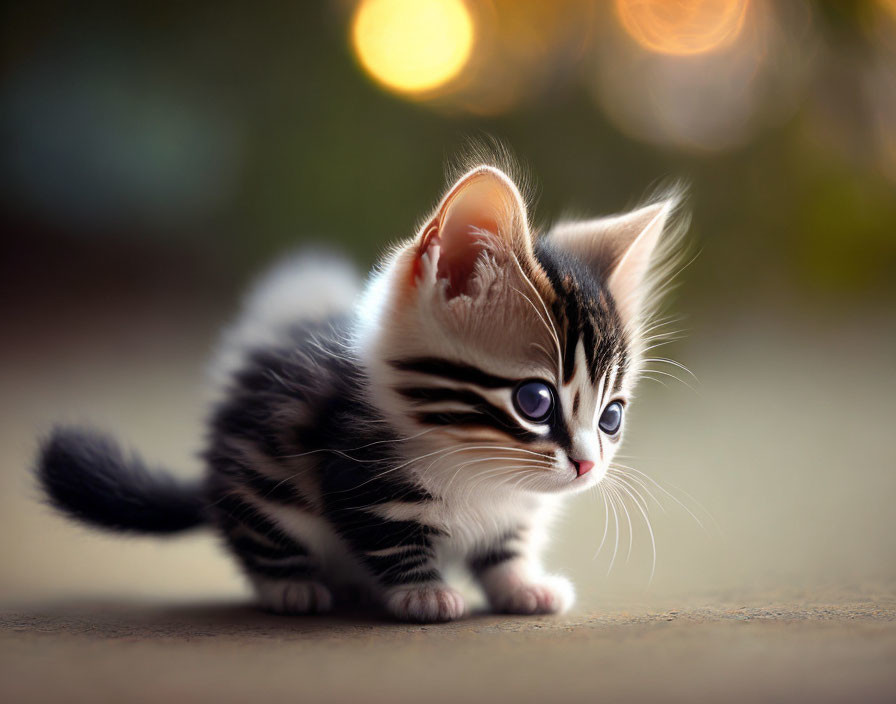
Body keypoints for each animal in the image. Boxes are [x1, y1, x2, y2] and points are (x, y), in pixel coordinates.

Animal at [31, 158, 684, 620]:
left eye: (611, 417)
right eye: (535, 401)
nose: (587, 465)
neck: (481, 473)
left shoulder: (513, 512)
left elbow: (504, 547)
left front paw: (522, 585)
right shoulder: (360, 476)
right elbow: (390, 539)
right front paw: (422, 594)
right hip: (261, 474)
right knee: (259, 533)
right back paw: (293, 586)